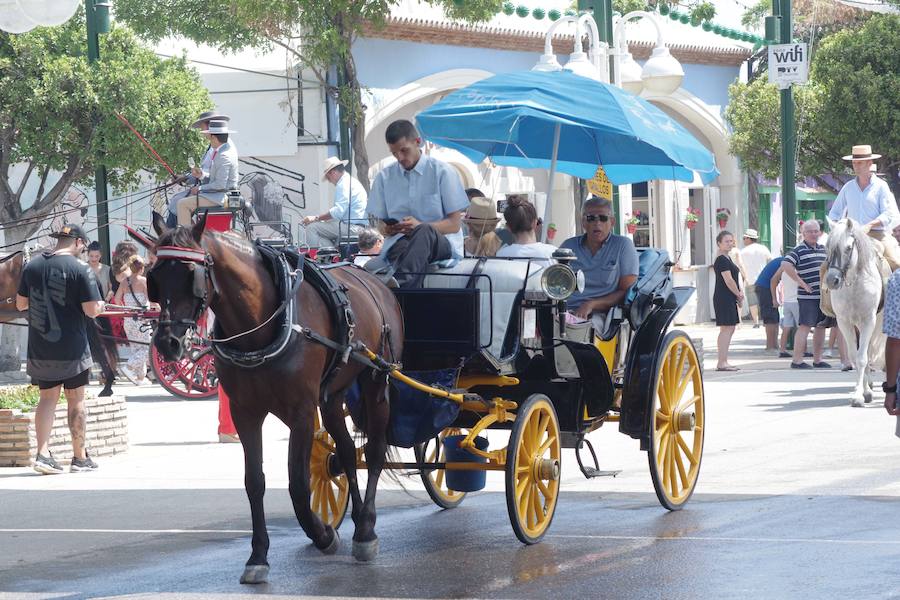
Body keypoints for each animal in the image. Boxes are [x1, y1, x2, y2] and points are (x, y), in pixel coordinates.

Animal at [149, 213, 402, 584]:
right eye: (154, 277)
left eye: (190, 275)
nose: (168, 343)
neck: (261, 327)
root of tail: (375, 280)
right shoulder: (245, 412)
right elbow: (254, 482)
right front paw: (258, 555)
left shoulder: (301, 412)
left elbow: (297, 484)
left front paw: (323, 534)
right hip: (332, 395)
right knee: (345, 450)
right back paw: (357, 521)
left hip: (376, 379)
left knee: (374, 450)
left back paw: (367, 529)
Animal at [824, 220, 884, 408]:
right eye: (827, 247)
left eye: (848, 248)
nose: (832, 280)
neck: (855, 285)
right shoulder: (844, 322)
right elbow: (854, 356)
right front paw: (862, 391)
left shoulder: (869, 320)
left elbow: (862, 358)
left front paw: (860, 395)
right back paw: (868, 385)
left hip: (876, 323)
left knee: (869, 351)